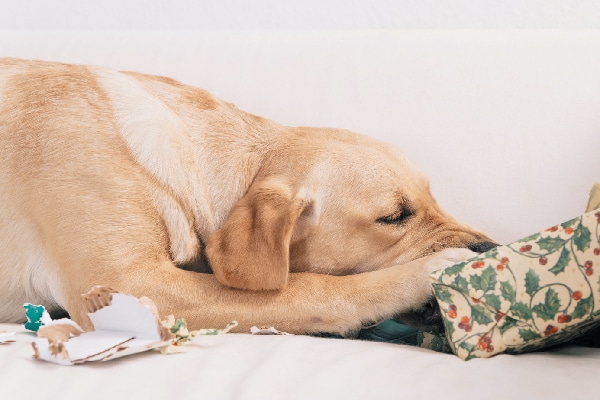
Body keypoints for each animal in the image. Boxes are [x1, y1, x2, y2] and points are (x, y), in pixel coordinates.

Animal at [0, 57, 496, 336]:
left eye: (433, 198)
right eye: (393, 217)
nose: (490, 248)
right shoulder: (126, 285)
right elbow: (314, 288)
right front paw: (430, 270)